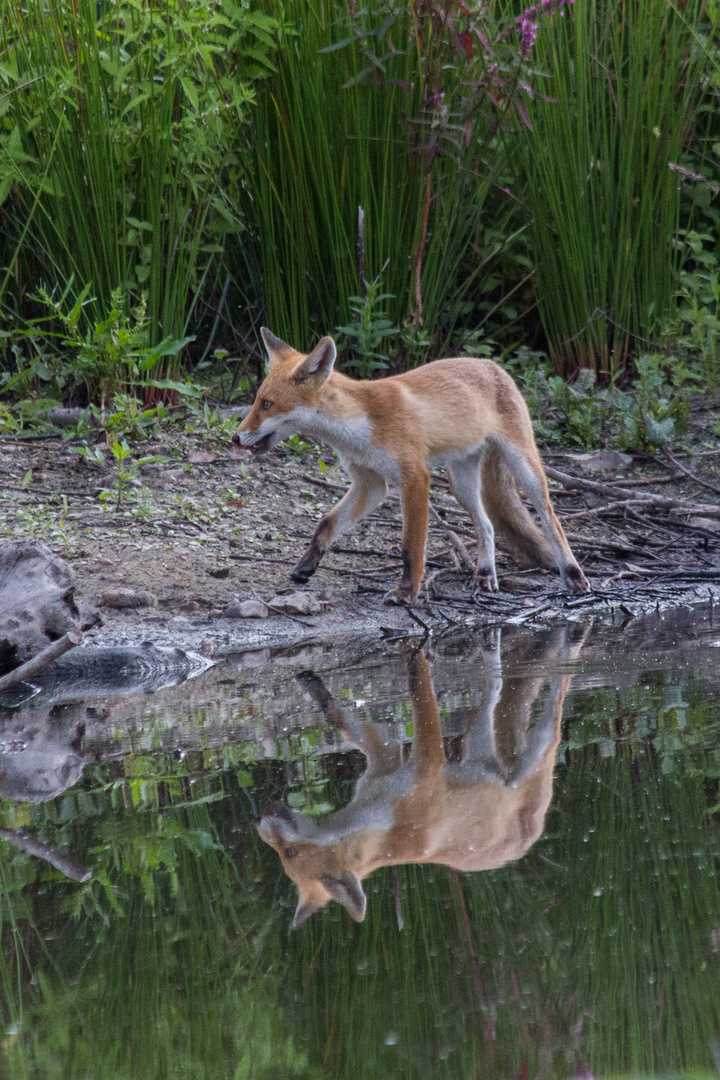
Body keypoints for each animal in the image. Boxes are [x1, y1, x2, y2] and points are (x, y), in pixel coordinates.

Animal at [234, 328, 587, 600]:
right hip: (461, 483)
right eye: (257, 401)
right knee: (486, 525)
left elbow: (410, 547)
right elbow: (327, 523)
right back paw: (486, 574)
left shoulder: (415, 477)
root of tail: (492, 364)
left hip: (524, 466)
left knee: (552, 523)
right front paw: (305, 566)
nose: (236, 438)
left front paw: (407, 592)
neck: (360, 428)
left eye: (267, 405)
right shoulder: (370, 483)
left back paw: (573, 574)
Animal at [257, 626, 587, 928]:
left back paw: (569, 647)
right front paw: (315, 689)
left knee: (554, 704)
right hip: (478, 751)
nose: (260, 819)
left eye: (288, 852)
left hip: (532, 758)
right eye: (281, 856)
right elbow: (338, 720)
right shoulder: (386, 761)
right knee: (493, 689)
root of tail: (522, 848)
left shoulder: (427, 760)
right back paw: (490, 650)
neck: (382, 821)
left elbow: (419, 691)